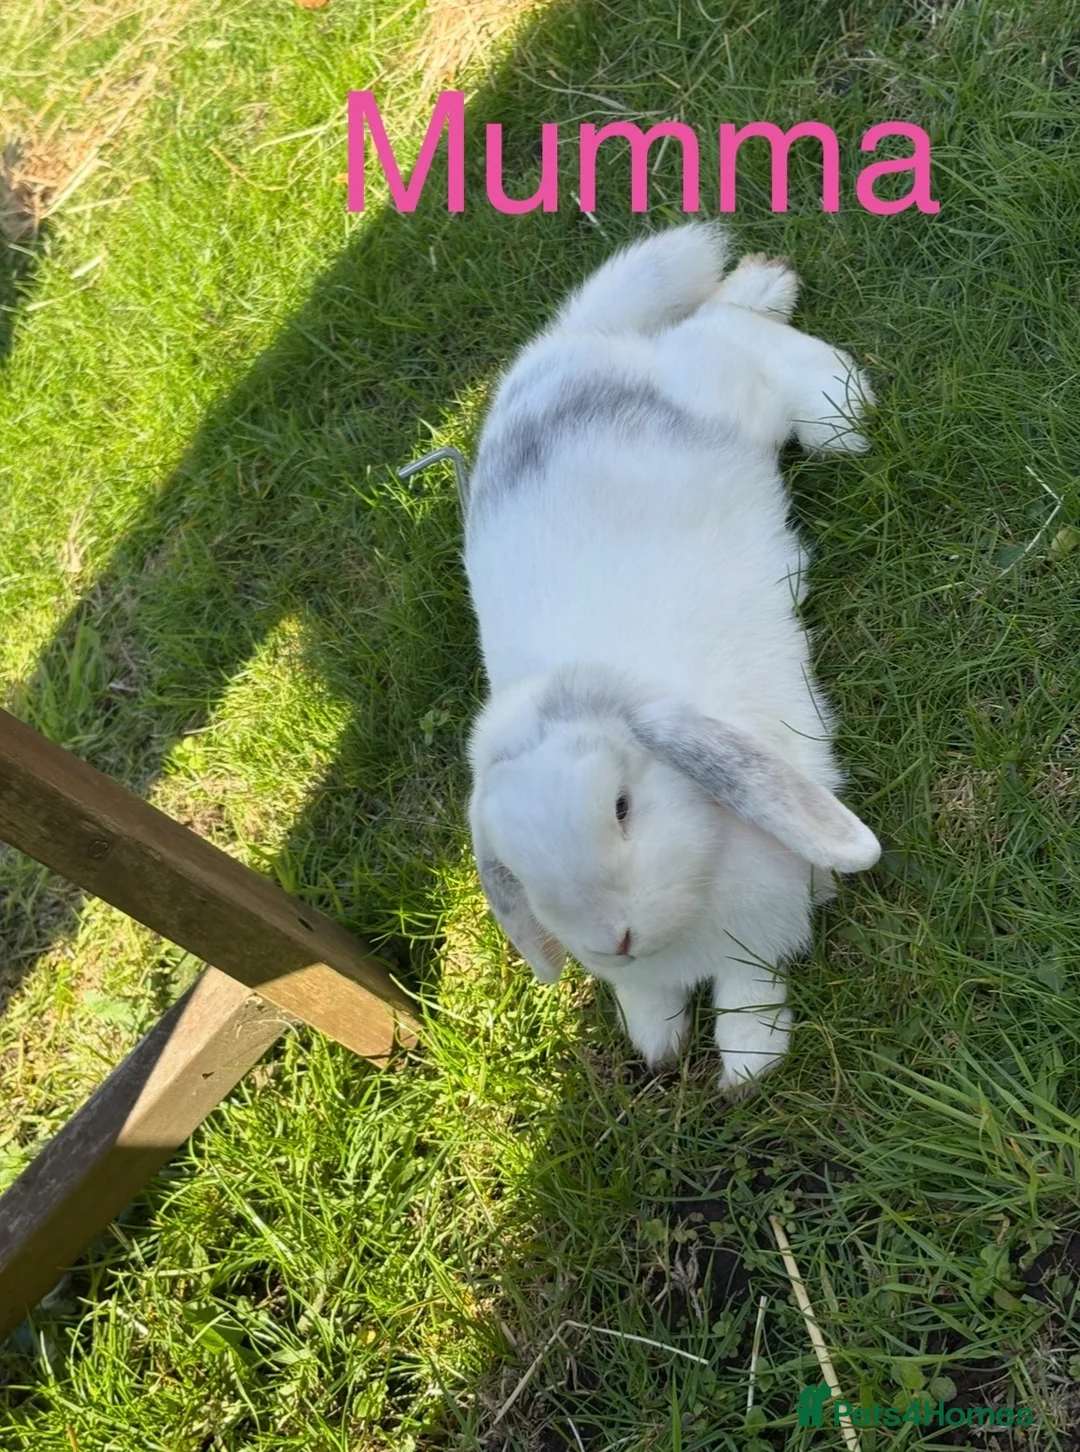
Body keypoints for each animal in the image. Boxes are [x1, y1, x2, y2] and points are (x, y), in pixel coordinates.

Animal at [462, 222, 880, 1097]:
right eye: (514, 866)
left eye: (623, 807)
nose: (613, 939)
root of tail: (567, 347)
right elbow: (650, 1007)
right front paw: (656, 1044)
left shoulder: (758, 932)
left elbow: (751, 994)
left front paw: (750, 1067)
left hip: (722, 393)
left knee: (728, 334)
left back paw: (825, 383)